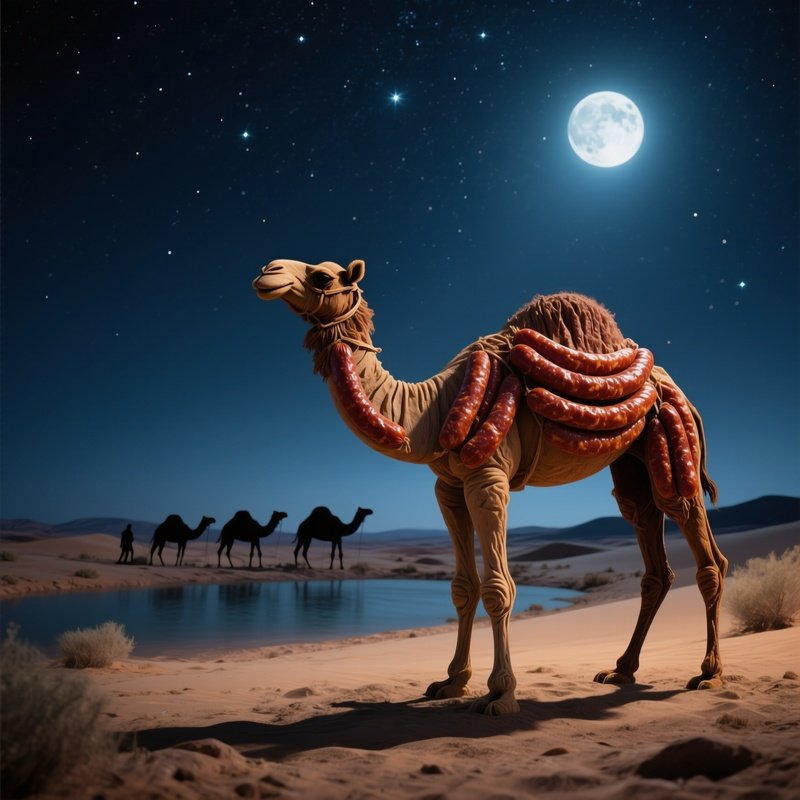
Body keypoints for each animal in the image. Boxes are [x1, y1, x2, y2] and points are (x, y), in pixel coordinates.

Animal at [253, 258, 727, 716]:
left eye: (322, 276)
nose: (267, 272)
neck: (431, 411)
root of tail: (679, 391)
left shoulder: (488, 478)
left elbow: (499, 588)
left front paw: (500, 694)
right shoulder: (448, 486)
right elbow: (463, 588)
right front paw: (451, 682)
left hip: (674, 446)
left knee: (704, 551)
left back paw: (709, 674)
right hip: (632, 466)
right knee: (650, 549)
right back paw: (621, 670)